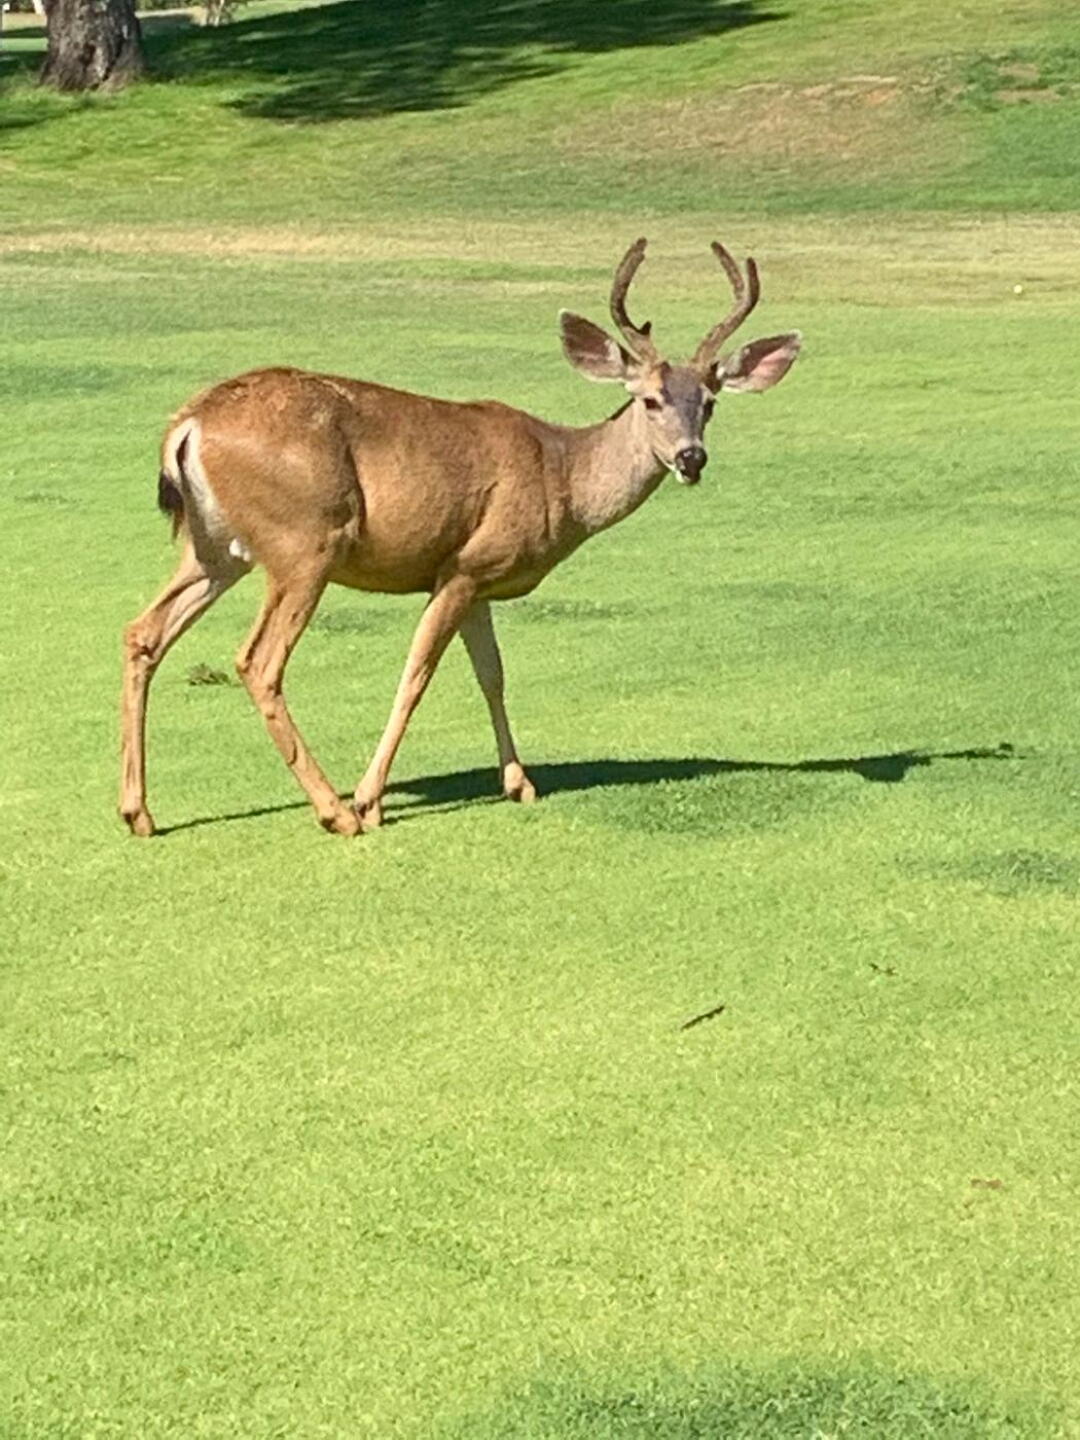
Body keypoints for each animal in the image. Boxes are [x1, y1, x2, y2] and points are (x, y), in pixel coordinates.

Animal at [120, 237, 801, 838]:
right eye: (651, 400)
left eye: (710, 402)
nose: (691, 458)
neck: (562, 478)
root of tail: (188, 425)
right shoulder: (462, 566)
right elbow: (417, 674)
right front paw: (371, 800)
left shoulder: (481, 582)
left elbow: (492, 675)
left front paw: (519, 782)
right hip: (304, 542)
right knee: (257, 661)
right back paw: (335, 812)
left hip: (214, 547)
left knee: (143, 633)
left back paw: (139, 813)